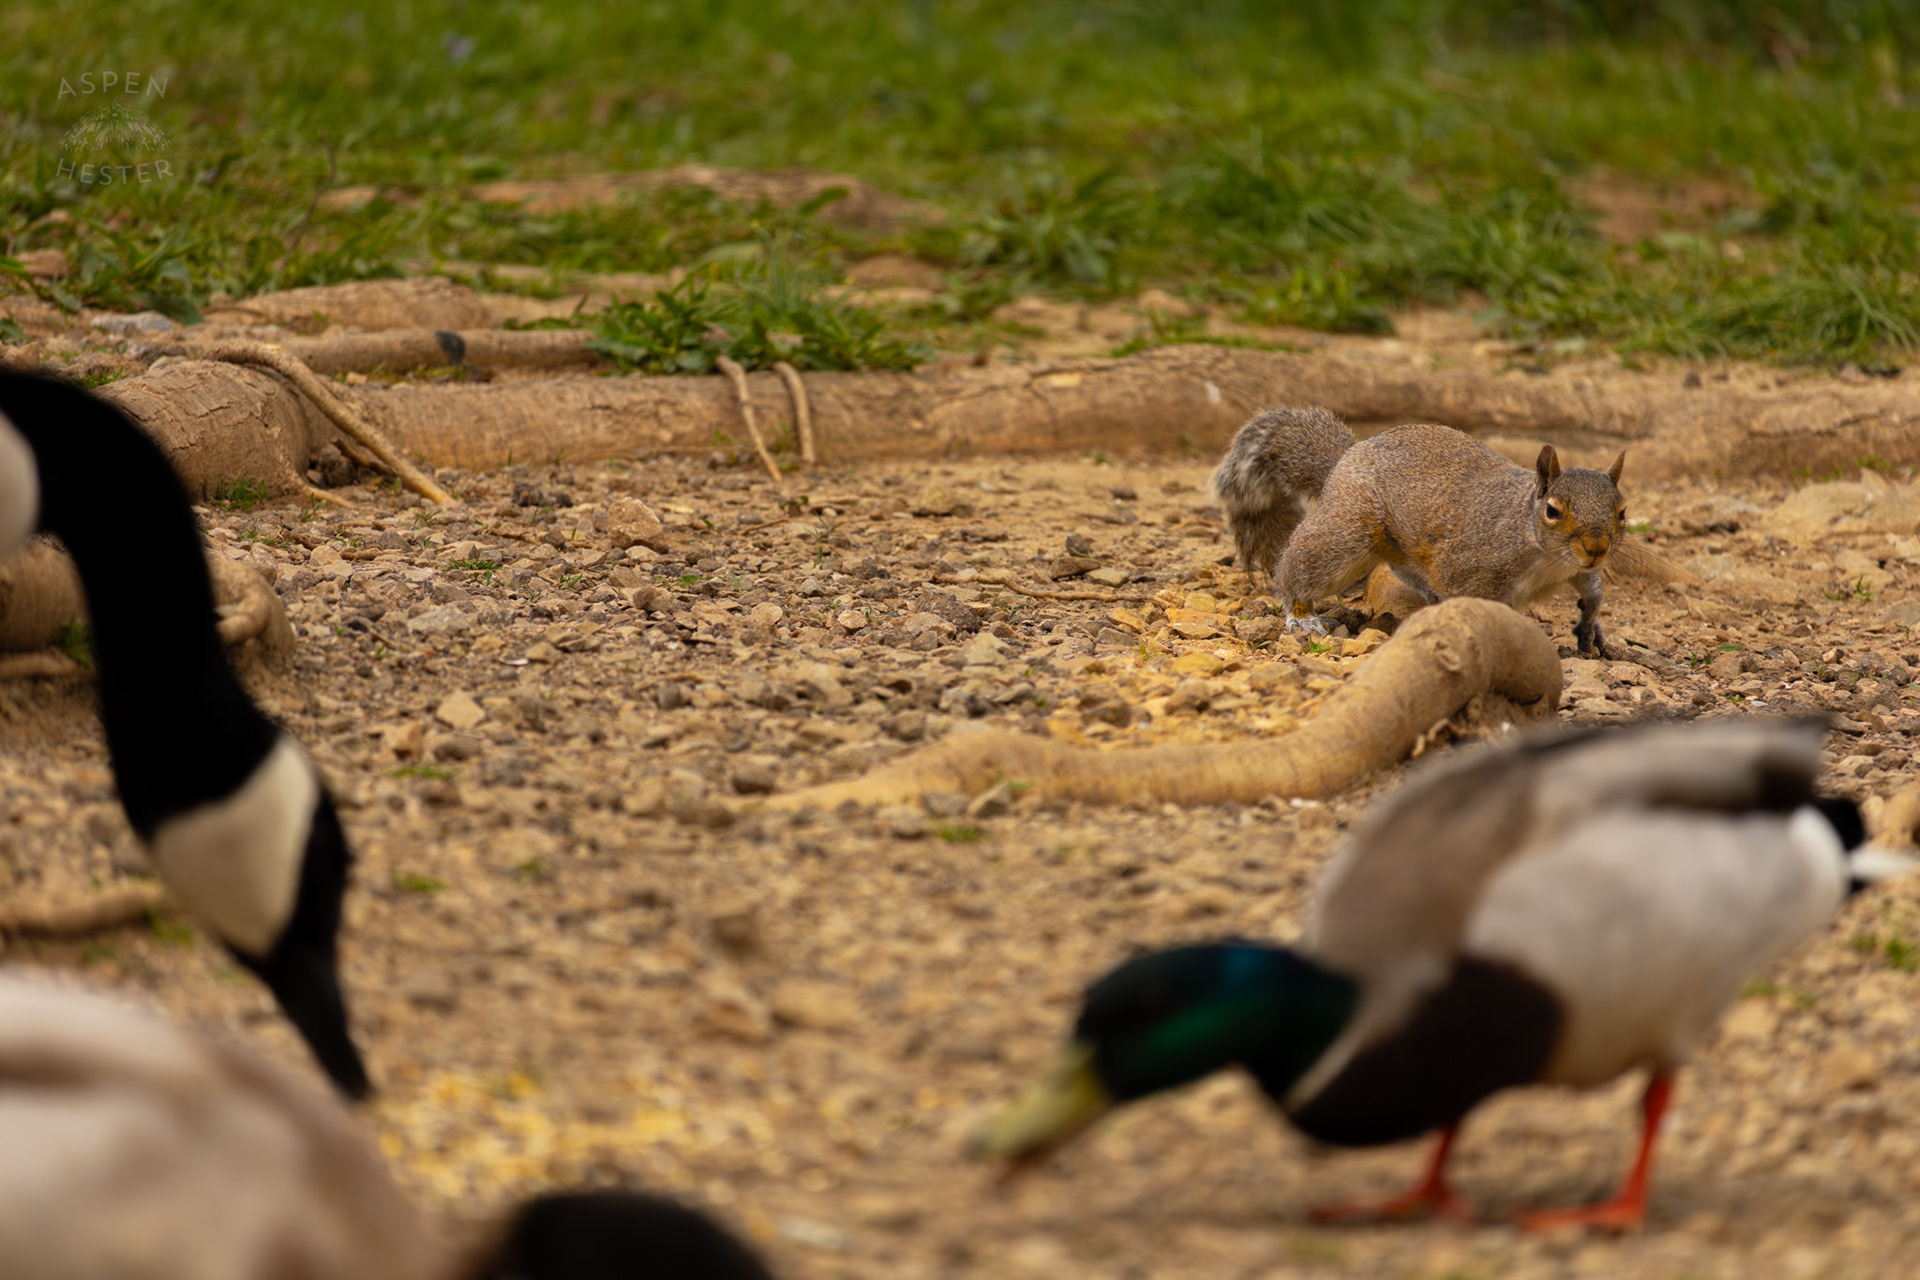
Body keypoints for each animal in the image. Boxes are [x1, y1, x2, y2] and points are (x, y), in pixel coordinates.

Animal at [1210, 407, 1628, 657]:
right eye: (1553, 511)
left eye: (1622, 512)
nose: (1596, 547)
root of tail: (1341, 463)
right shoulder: (1469, 564)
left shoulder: (1578, 568)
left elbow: (1592, 589)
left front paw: (1591, 622)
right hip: (1348, 534)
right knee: (1299, 569)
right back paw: (1301, 613)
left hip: (1400, 550)